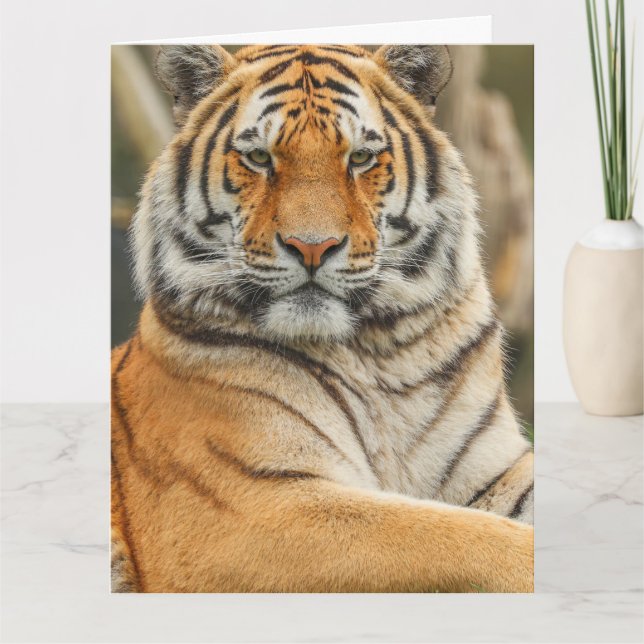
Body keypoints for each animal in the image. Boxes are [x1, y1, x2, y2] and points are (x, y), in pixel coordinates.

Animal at [111, 43, 534, 593]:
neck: (377, 353)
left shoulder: (497, 469)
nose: (312, 247)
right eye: (258, 157)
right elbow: (455, 536)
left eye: (360, 158)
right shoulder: (247, 509)